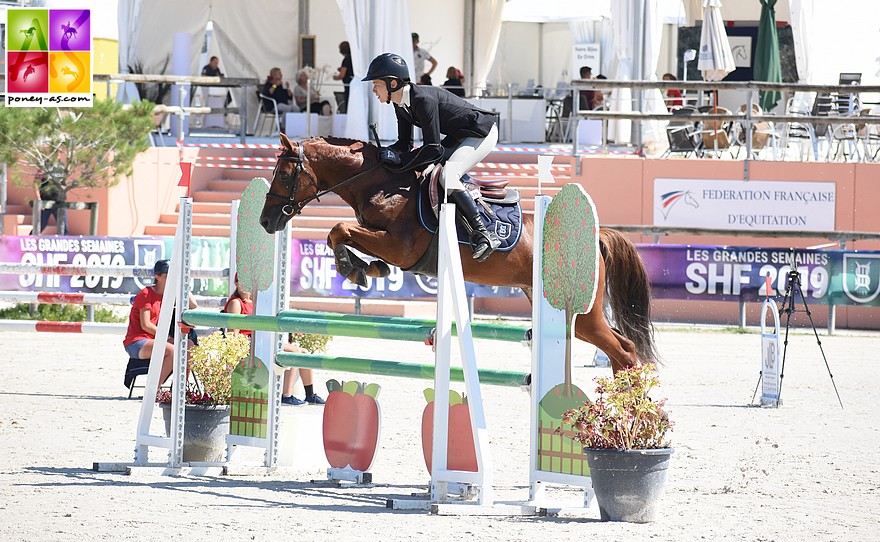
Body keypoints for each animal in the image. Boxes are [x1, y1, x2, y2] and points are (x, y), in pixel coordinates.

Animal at [258, 135, 656, 374]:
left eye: (284, 175)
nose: (265, 221)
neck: (384, 184)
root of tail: (595, 236)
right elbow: (341, 235)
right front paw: (365, 267)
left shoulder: (401, 247)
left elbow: (339, 230)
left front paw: (354, 267)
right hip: (559, 308)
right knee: (622, 348)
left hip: (580, 312)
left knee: (623, 351)